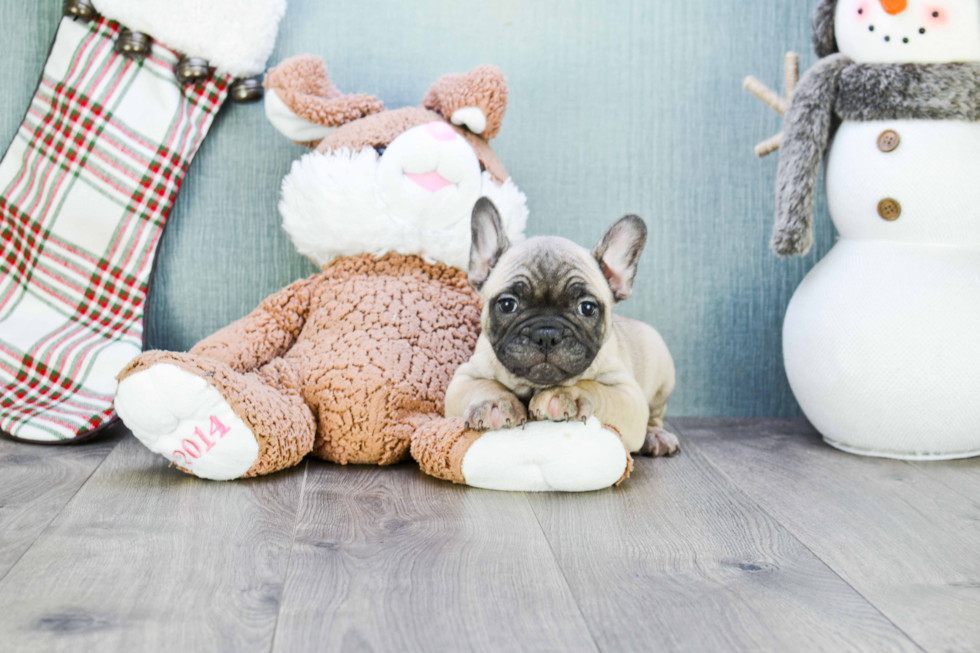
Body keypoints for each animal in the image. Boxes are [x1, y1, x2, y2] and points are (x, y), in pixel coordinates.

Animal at [448, 196, 676, 456]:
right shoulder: (464, 378)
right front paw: (495, 402)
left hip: (661, 379)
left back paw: (655, 435)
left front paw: (565, 394)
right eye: (507, 304)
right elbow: (483, 385)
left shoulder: (629, 396)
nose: (546, 335)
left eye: (587, 308)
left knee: (655, 416)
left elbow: (593, 386)